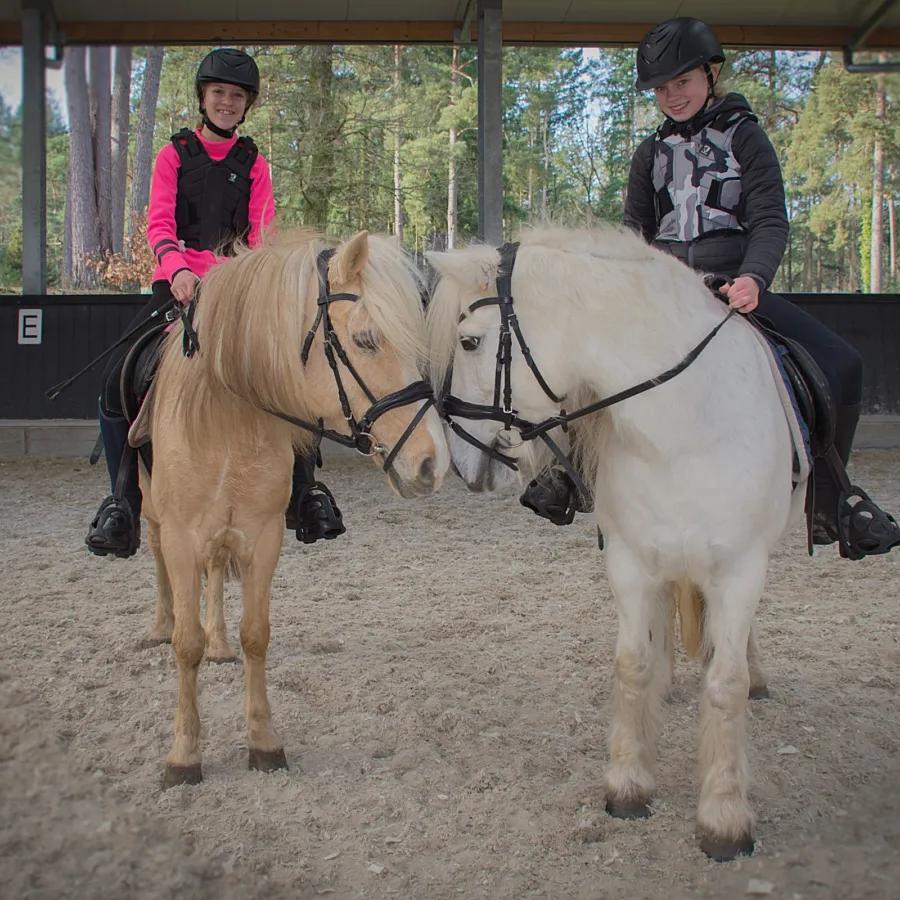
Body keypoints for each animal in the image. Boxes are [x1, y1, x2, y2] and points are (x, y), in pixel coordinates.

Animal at [129, 230, 446, 788]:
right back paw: (159, 626)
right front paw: (183, 756)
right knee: (160, 567)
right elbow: (184, 646)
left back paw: (219, 643)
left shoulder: (263, 536)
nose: (431, 463)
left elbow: (256, 636)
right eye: (366, 339)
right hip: (152, 516)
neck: (226, 419)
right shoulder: (182, 535)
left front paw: (264, 742)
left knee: (217, 573)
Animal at [426, 225, 804, 856]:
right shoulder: (630, 562)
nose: (457, 460)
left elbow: (725, 684)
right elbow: (632, 665)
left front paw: (724, 817)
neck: (682, 428)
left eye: (471, 341)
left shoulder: (741, 570)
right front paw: (628, 785)